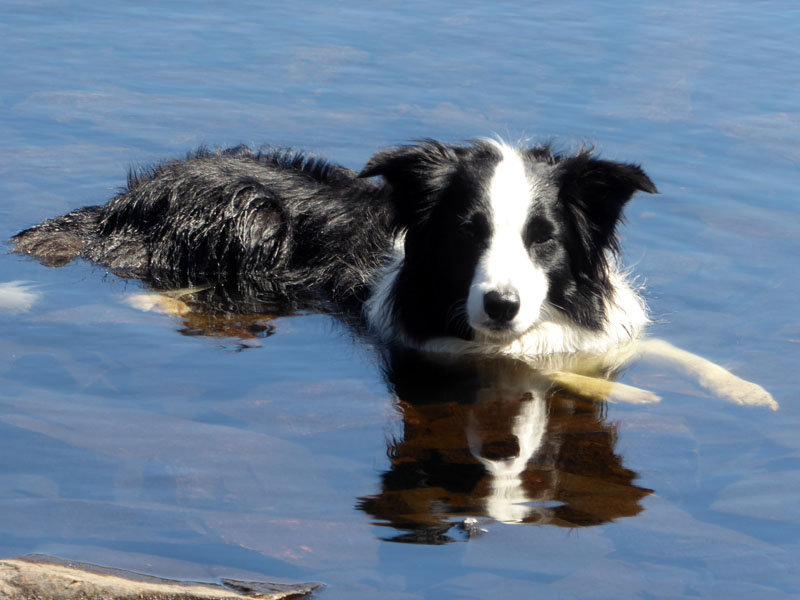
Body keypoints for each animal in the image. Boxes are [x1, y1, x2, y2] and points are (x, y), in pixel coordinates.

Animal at [9, 137, 780, 408]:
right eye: (470, 235)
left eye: (544, 241)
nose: (501, 306)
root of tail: (122, 199)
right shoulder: (436, 346)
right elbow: (544, 375)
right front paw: (637, 396)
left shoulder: (598, 332)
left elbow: (668, 350)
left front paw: (749, 392)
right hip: (252, 218)